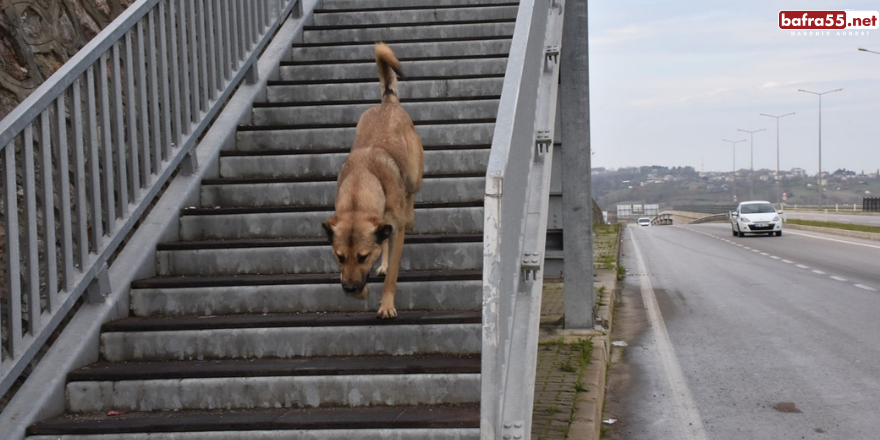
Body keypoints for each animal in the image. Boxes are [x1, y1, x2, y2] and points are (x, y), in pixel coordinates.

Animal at [322, 43, 424, 320]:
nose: (349, 288)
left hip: (413, 175)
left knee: (411, 192)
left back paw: (410, 216)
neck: (360, 189)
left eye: (363, 256)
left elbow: (392, 277)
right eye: (339, 257)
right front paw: (363, 292)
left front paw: (386, 305)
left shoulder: (396, 231)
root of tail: (387, 102)